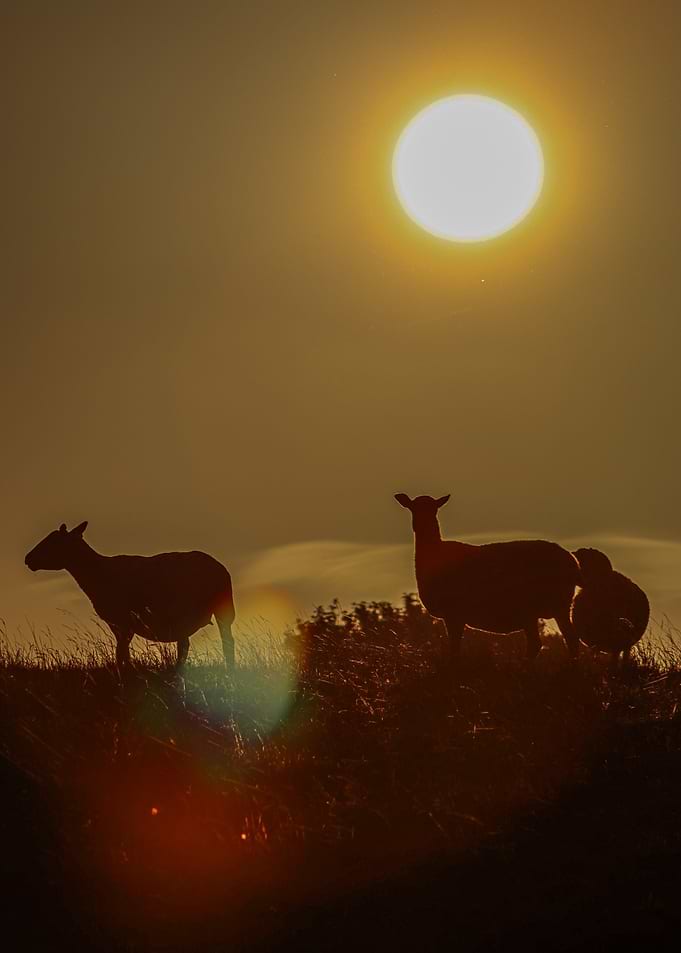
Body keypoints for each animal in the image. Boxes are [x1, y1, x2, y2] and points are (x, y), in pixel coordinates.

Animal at [25, 522, 236, 671]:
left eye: (53, 541)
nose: (28, 559)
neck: (97, 572)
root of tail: (221, 569)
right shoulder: (122, 624)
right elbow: (123, 652)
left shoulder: (122, 621)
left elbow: (121, 653)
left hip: (210, 611)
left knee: (213, 644)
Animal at [395, 493, 581, 663]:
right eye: (413, 508)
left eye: (435, 509)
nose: (422, 525)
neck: (434, 553)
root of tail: (574, 563)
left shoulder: (453, 613)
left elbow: (454, 649)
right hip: (557, 606)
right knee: (569, 639)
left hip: (537, 606)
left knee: (541, 642)